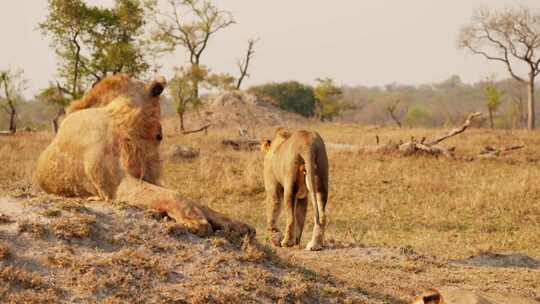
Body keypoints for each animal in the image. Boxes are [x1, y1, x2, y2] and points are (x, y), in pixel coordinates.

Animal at [35, 73, 253, 238]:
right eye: (158, 135)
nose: (160, 135)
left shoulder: (145, 176)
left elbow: (194, 200)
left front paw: (237, 224)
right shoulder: (115, 186)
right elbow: (174, 195)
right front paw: (195, 220)